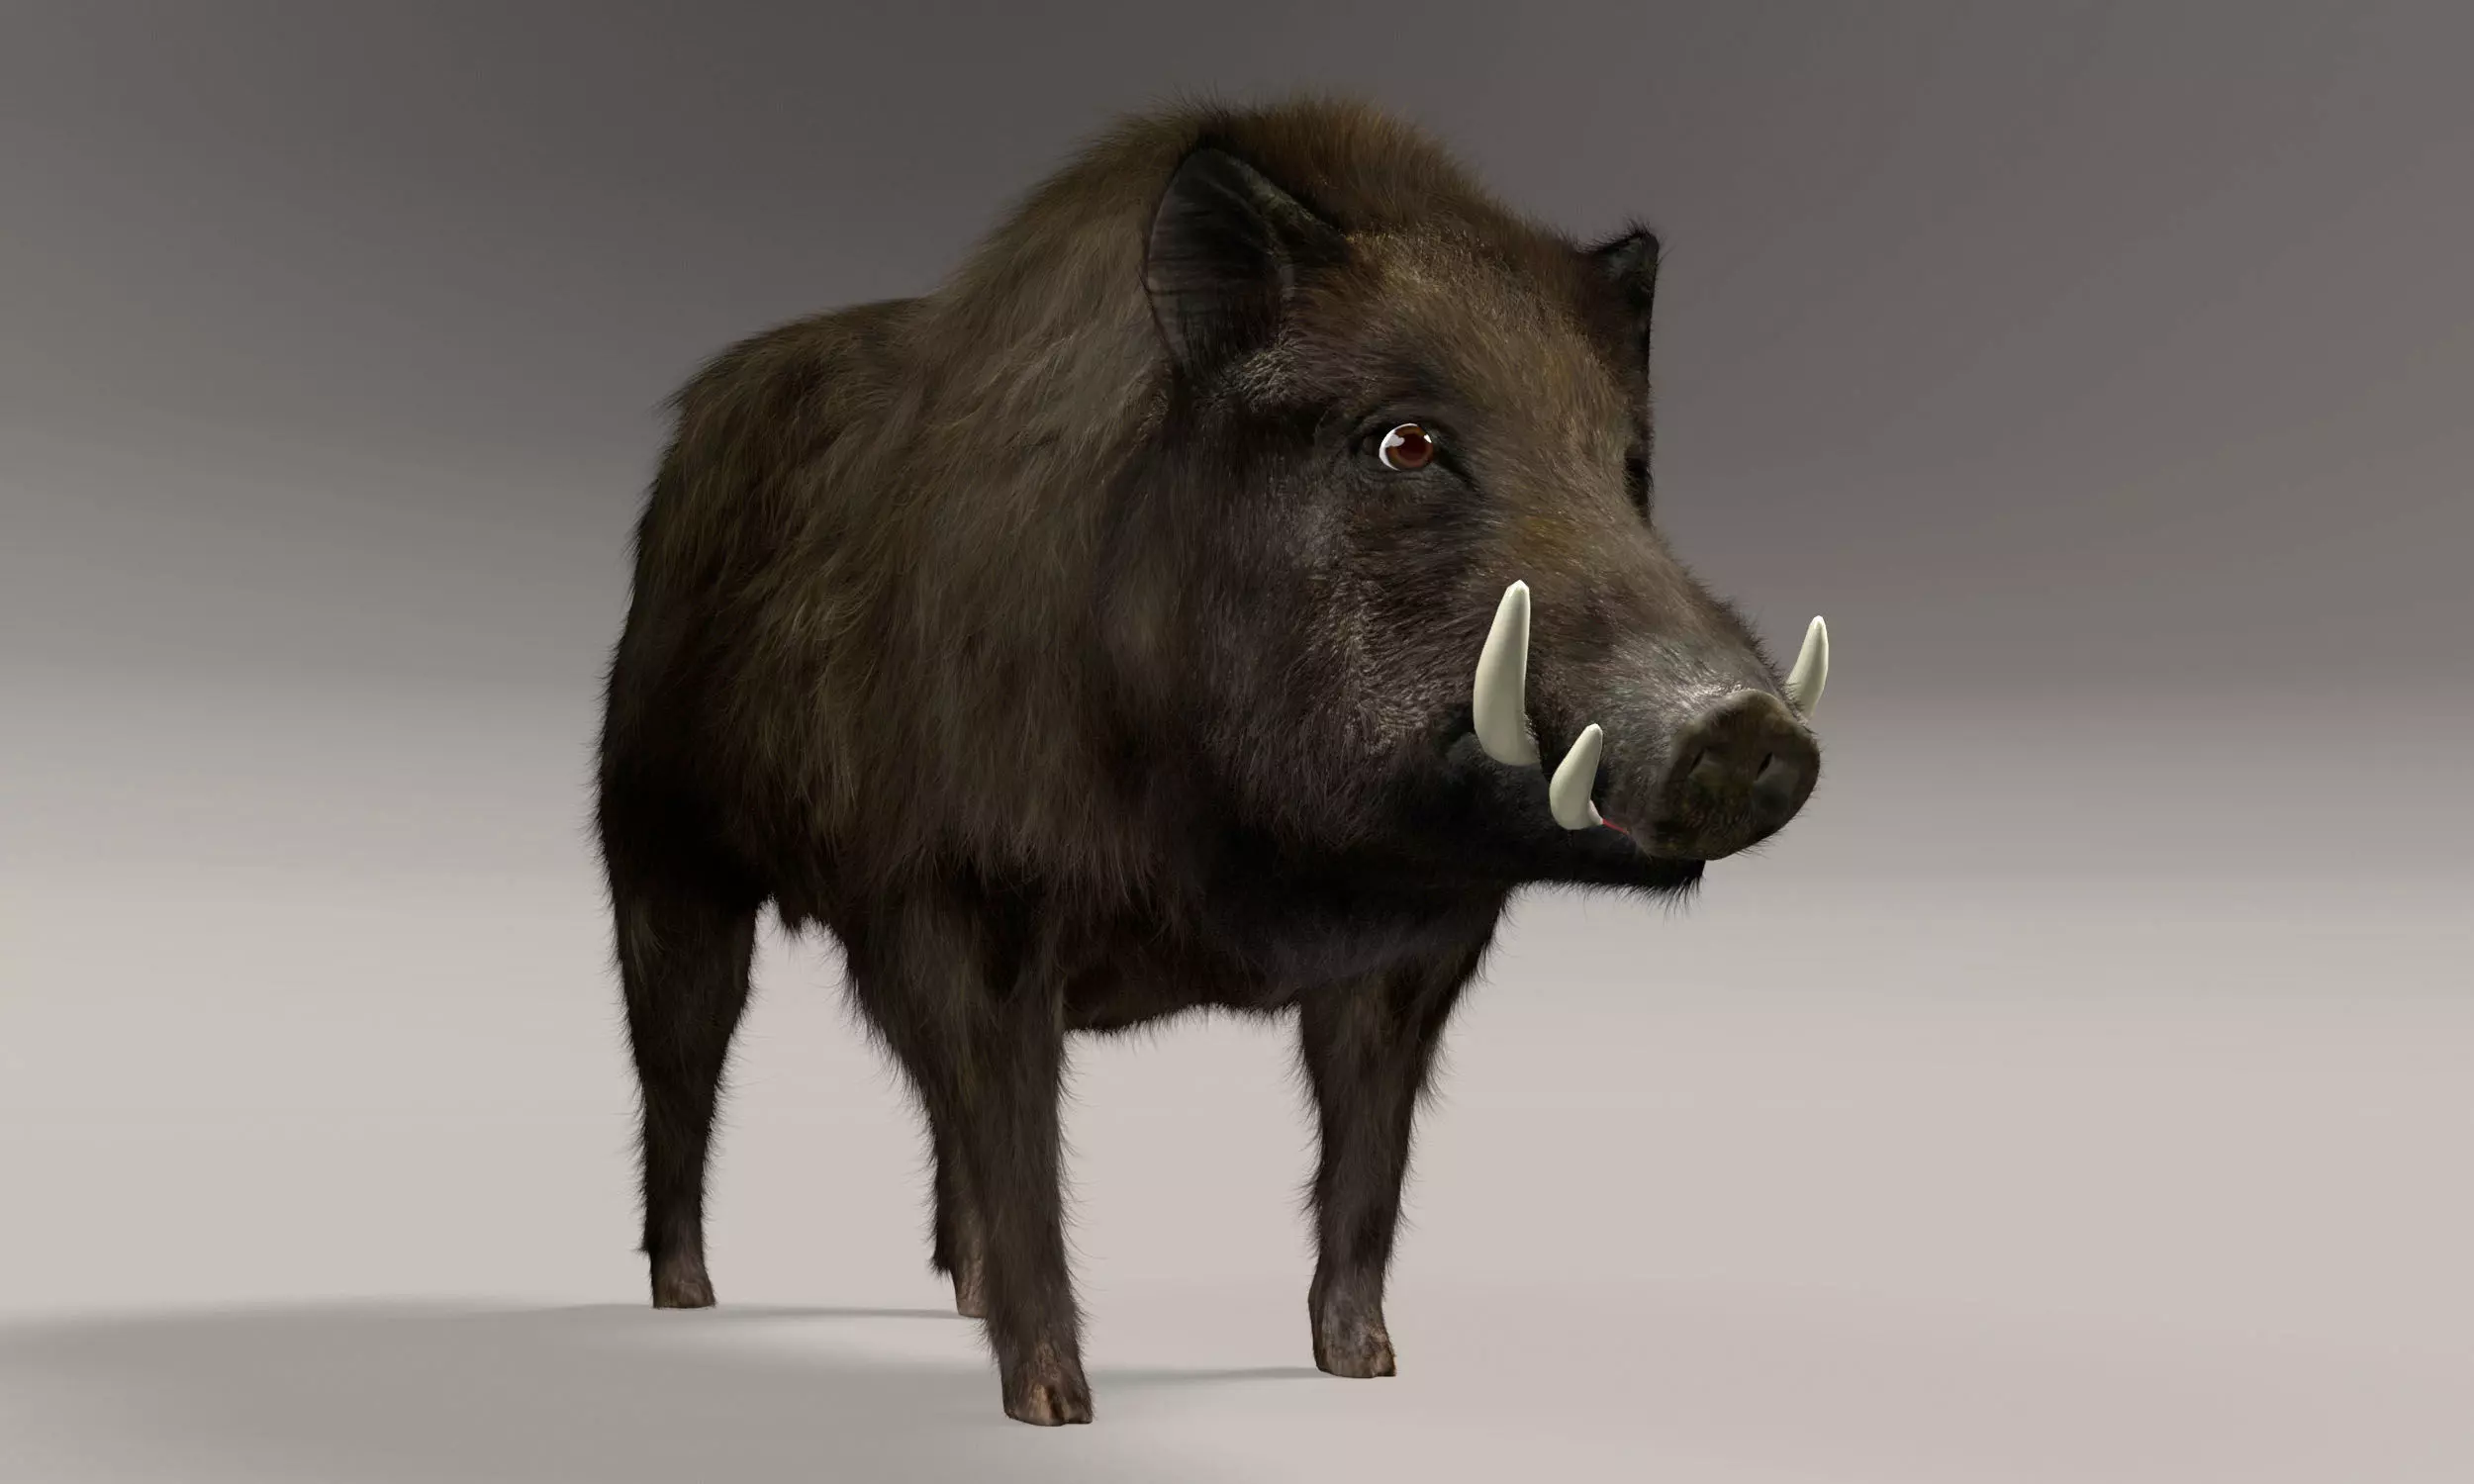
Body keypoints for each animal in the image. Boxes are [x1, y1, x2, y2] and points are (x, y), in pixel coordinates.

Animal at [595, 94, 1830, 1426]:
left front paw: (1366, 1368)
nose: (1746, 728)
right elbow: (1023, 1147)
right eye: (1405, 443)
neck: (1260, 868)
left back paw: (950, 1295)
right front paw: (1058, 1407)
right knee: (685, 1055)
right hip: (657, 846)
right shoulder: (963, 901)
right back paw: (686, 1298)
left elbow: (1369, 1156)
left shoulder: (1417, 955)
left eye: (1627, 464)